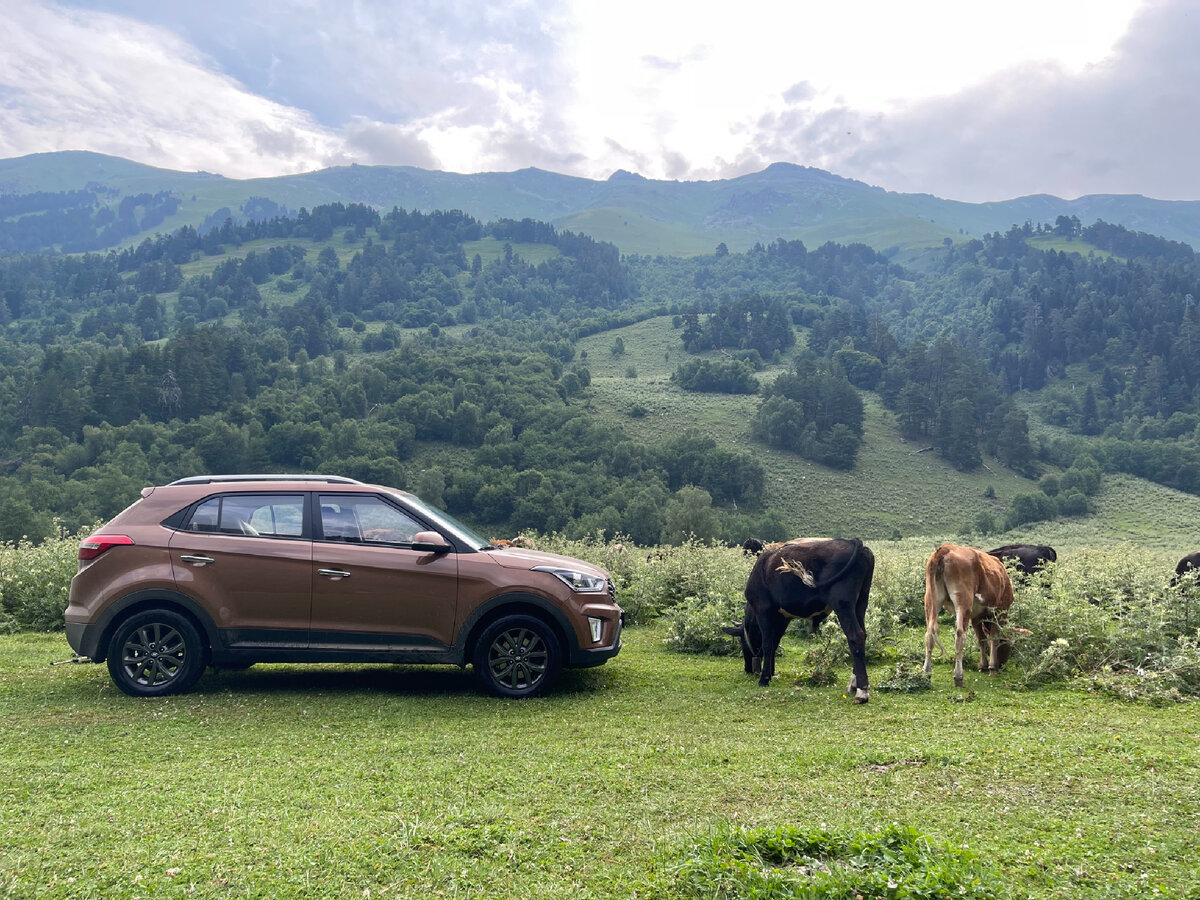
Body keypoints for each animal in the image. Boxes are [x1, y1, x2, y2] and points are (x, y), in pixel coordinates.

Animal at [729, 535, 873, 705]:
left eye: (742, 642)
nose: (748, 669)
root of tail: (853, 541)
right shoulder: (782, 618)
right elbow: (774, 644)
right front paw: (771, 673)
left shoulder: (763, 611)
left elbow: (767, 644)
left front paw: (764, 679)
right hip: (860, 603)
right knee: (863, 635)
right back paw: (853, 684)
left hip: (843, 604)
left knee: (855, 637)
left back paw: (862, 691)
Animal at [926, 547, 1012, 686]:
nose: (1002, 664)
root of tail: (946, 548)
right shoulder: (1001, 611)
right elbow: (994, 639)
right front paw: (992, 668)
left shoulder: (976, 617)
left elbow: (981, 639)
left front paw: (983, 665)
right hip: (963, 601)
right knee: (960, 635)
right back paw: (959, 677)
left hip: (931, 599)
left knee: (929, 634)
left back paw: (926, 672)